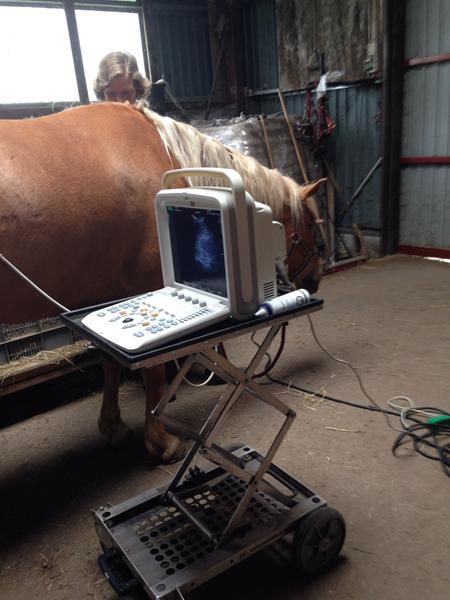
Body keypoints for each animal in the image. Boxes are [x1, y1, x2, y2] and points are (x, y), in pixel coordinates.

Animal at [0, 101, 324, 462]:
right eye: (311, 225)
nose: (316, 277)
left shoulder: (104, 295)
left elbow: (110, 361)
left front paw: (113, 426)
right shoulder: (146, 283)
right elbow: (153, 371)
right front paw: (160, 440)